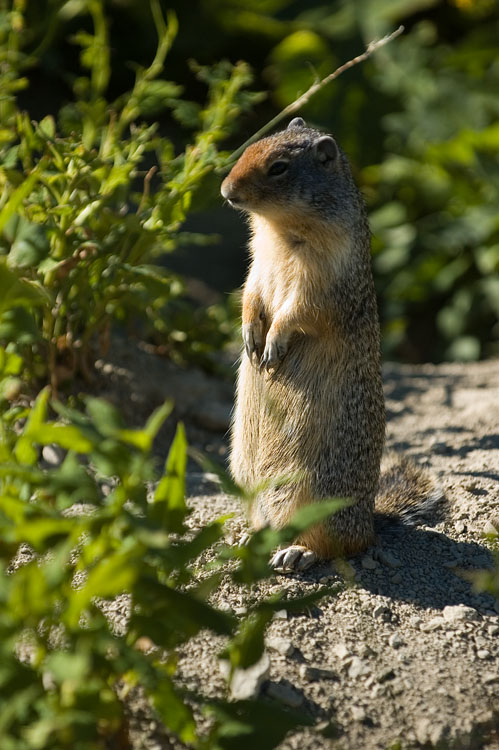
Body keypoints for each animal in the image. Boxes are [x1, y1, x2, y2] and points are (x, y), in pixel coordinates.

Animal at [223, 117, 442, 572]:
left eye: (279, 167)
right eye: (252, 146)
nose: (226, 189)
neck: (280, 231)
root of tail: (371, 521)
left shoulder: (323, 283)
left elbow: (299, 313)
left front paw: (272, 345)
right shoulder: (256, 265)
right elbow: (250, 295)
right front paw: (250, 338)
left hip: (313, 498)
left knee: (337, 545)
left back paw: (297, 553)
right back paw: (249, 539)